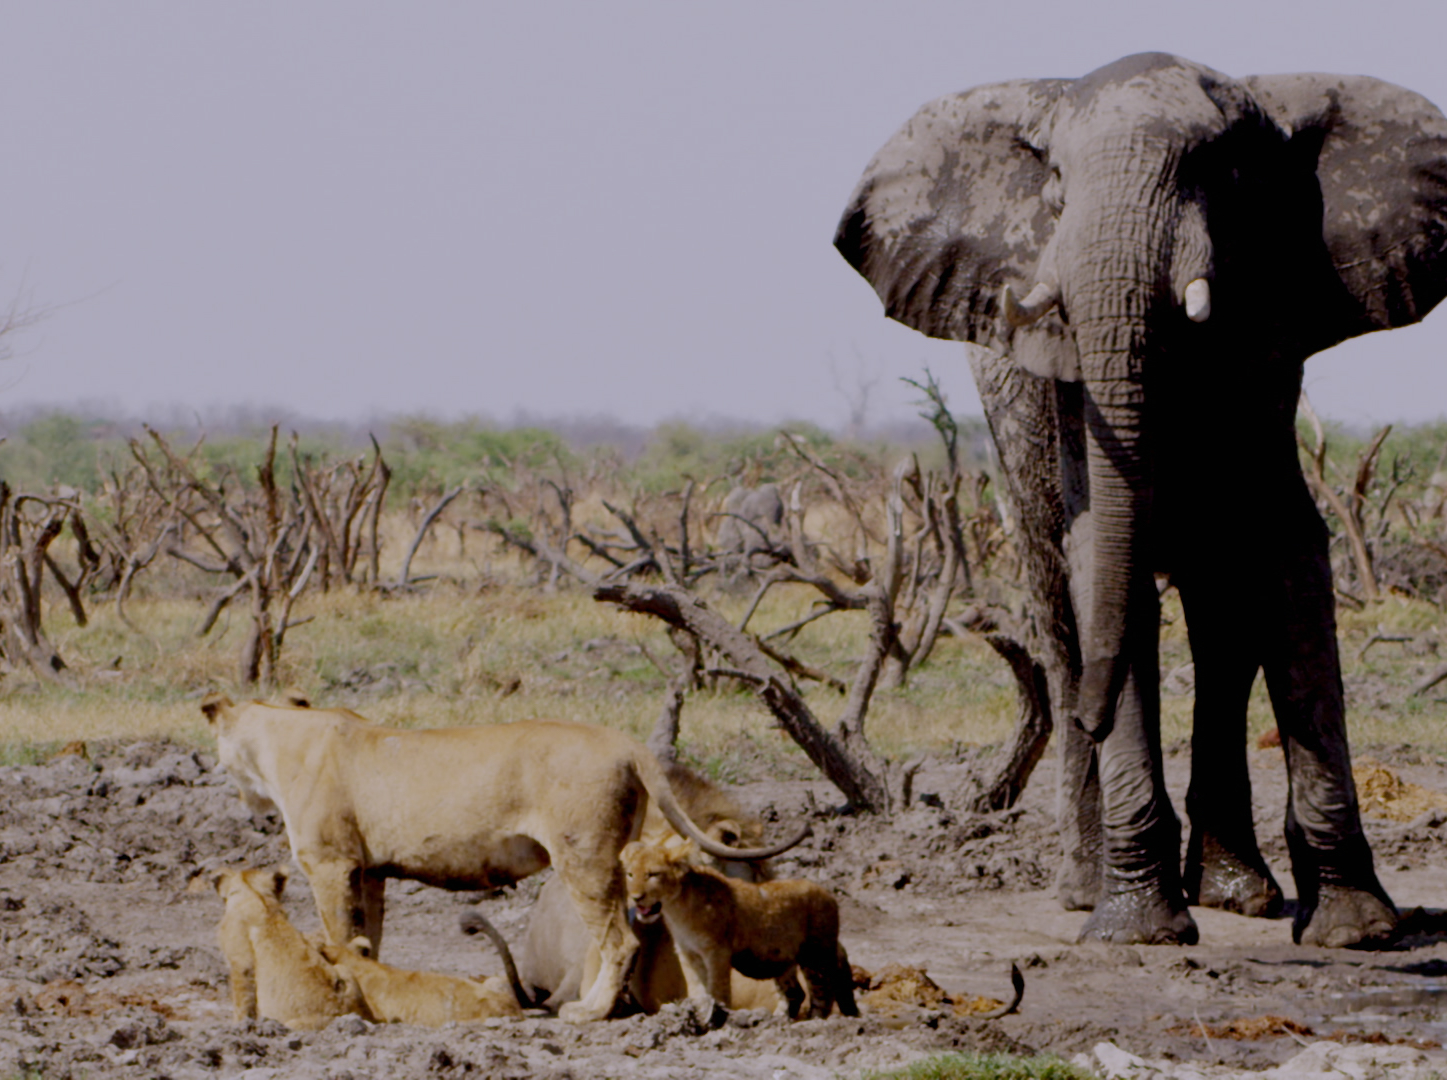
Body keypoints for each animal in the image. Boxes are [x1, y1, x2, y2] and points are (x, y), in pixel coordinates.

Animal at [212, 866, 371, 1030]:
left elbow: (242, 1001)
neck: (254, 892)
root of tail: (343, 1012)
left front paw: (238, 1026)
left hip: (292, 1024)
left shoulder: (240, 963)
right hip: (344, 972)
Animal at [620, 836, 858, 1019]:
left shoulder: (717, 951)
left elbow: (718, 989)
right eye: (630, 874)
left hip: (816, 954)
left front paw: (718, 1017)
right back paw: (778, 1020)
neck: (676, 910)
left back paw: (815, 1021)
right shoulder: (688, 953)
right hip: (782, 961)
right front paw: (699, 1014)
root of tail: (830, 895)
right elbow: (697, 987)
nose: (636, 897)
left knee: (822, 994)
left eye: (653, 874)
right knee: (795, 993)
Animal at [835, 52, 1447, 947]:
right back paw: (1087, 887)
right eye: (1054, 183)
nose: (1093, 721)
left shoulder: (1267, 337)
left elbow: (1286, 547)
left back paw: (1237, 892)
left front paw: (1356, 929)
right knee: (1063, 620)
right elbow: (1099, 559)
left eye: (1221, 173)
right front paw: (1137, 932)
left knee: (1218, 620)